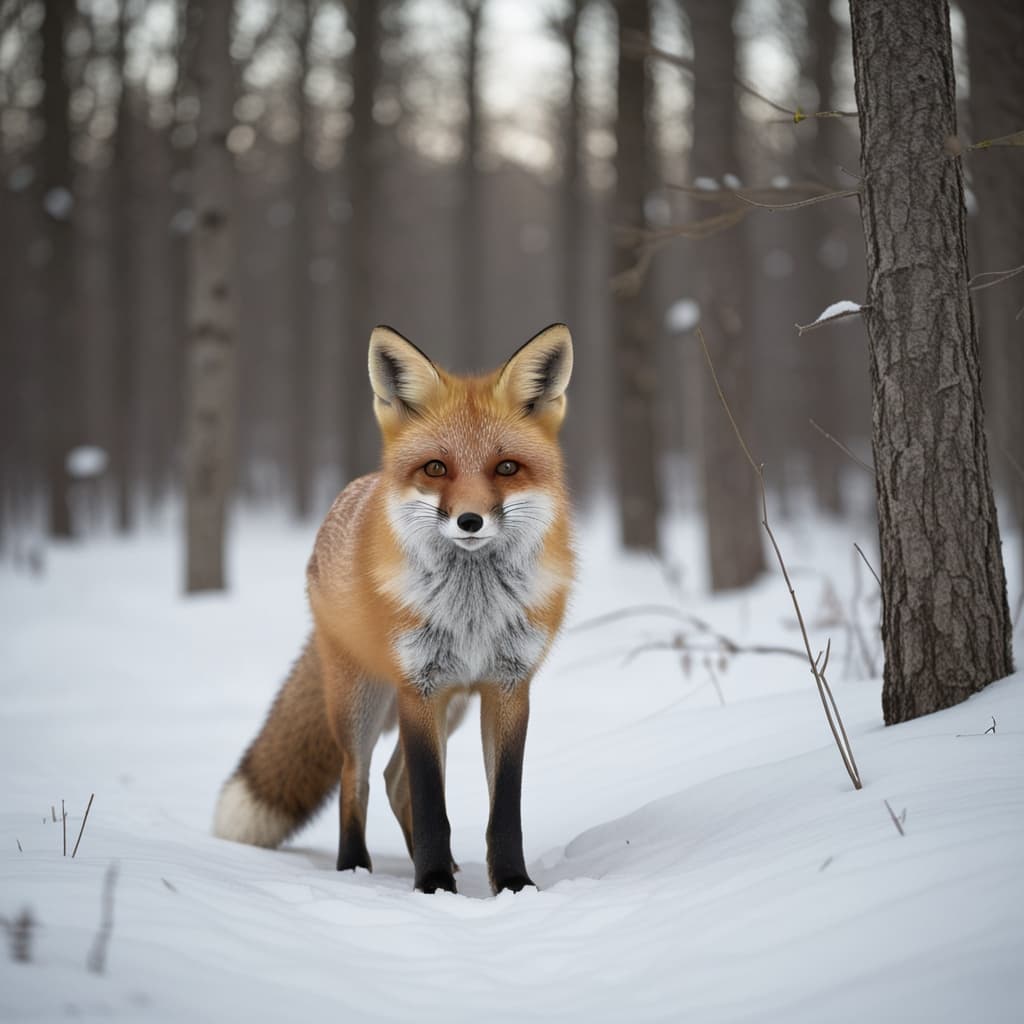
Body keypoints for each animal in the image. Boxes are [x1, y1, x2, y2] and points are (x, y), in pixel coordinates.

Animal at [213, 323, 574, 894]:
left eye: (506, 468)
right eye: (436, 468)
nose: (469, 520)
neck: (472, 612)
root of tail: (351, 494)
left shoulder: (507, 686)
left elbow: (503, 809)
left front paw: (513, 885)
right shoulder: (417, 685)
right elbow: (431, 803)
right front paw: (433, 887)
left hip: (451, 705)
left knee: (392, 779)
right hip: (360, 697)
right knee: (356, 777)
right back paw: (355, 866)